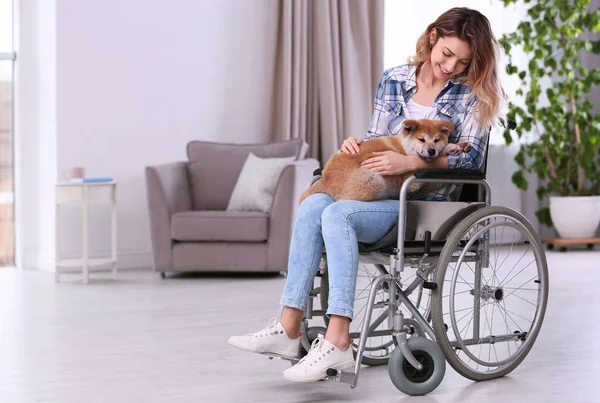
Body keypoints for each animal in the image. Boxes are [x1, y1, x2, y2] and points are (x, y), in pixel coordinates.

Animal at [300, 118, 468, 204]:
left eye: (436, 140)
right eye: (421, 139)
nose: (431, 151)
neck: (403, 148)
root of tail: (326, 179)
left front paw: (455, 147)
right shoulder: (412, 178)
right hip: (373, 180)